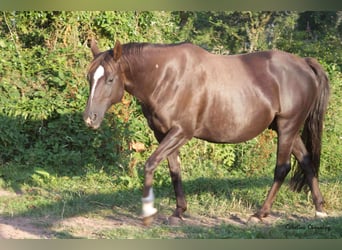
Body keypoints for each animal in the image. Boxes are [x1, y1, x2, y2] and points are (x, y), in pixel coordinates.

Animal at [83, 39, 328, 227]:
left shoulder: (181, 132)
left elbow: (151, 164)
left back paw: (260, 214)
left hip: (287, 127)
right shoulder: (163, 134)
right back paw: (320, 209)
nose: (89, 118)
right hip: (288, 129)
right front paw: (178, 212)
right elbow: (174, 170)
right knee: (306, 161)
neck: (165, 76)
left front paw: (147, 213)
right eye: (90, 78)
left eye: (110, 79)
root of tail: (304, 64)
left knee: (282, 168)